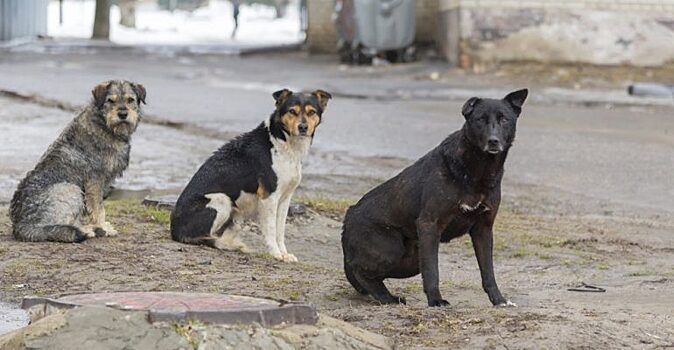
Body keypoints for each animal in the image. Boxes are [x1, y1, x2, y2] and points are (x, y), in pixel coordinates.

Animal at [9, 80, 146, 242]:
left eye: (130, 100)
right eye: (110, 101)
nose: (123, 114)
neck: (104, 125)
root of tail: (21, 225)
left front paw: (102, 226)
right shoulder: (94, 182)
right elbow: (99, 209)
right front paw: (103, 227)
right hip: (70, 189)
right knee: (56, 227)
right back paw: (86, 230)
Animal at [171, 89, 330, 262]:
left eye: (311, 112)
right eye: (292, 111)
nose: (303, 127)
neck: (283, 142)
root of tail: (174, 230)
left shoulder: (285, 198)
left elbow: (280, 230)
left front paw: (284, 254)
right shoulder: (269, 197)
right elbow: (271, 230)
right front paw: (276, 253)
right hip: (221, 199)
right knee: (205, 237)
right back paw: (226, 244)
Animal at [342, 89, 524, 306]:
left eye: (504, 119)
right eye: (480, 119)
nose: (493, 141)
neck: (478, 170)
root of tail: (348, 216)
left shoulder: (483, 229)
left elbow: (488, 271)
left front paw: (498, 300)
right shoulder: (430, 224)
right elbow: (432, 270)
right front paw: (436, 300)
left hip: (411, 261)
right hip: (391, 247)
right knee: (360, 270)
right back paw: (387, 298)